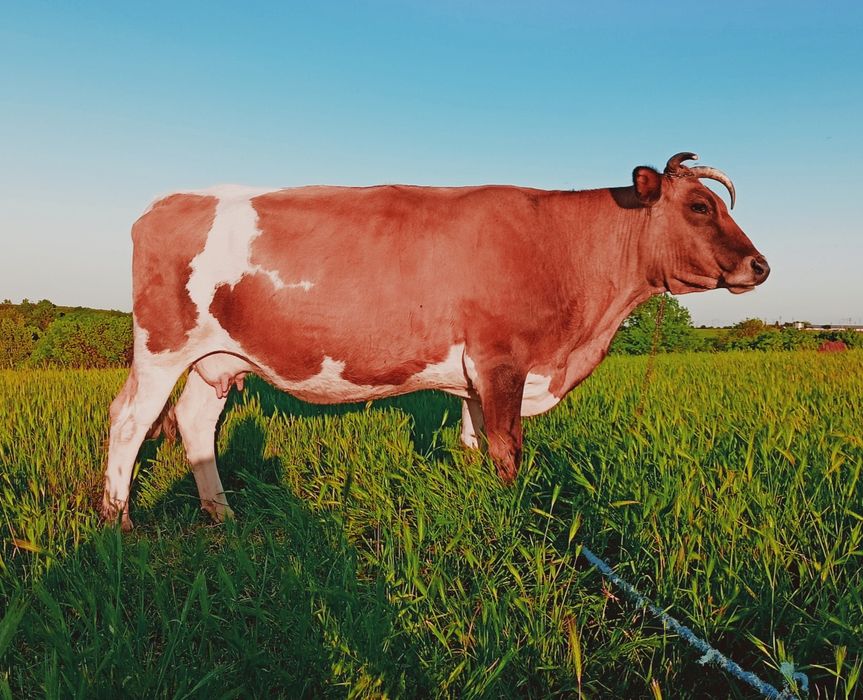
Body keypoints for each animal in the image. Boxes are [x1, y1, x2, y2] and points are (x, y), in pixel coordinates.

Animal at [102, 152, 769, 529]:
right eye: (700, 205)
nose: (760, 266)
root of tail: (168, 200)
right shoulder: (503, 361)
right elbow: (508, 450)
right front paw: (517, 517)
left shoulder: (477, 375)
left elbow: (474, 444)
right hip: (163, 345)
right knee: (130, 419)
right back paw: (118, 521)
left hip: (218, 358)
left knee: (194, 420)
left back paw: (222, 515)